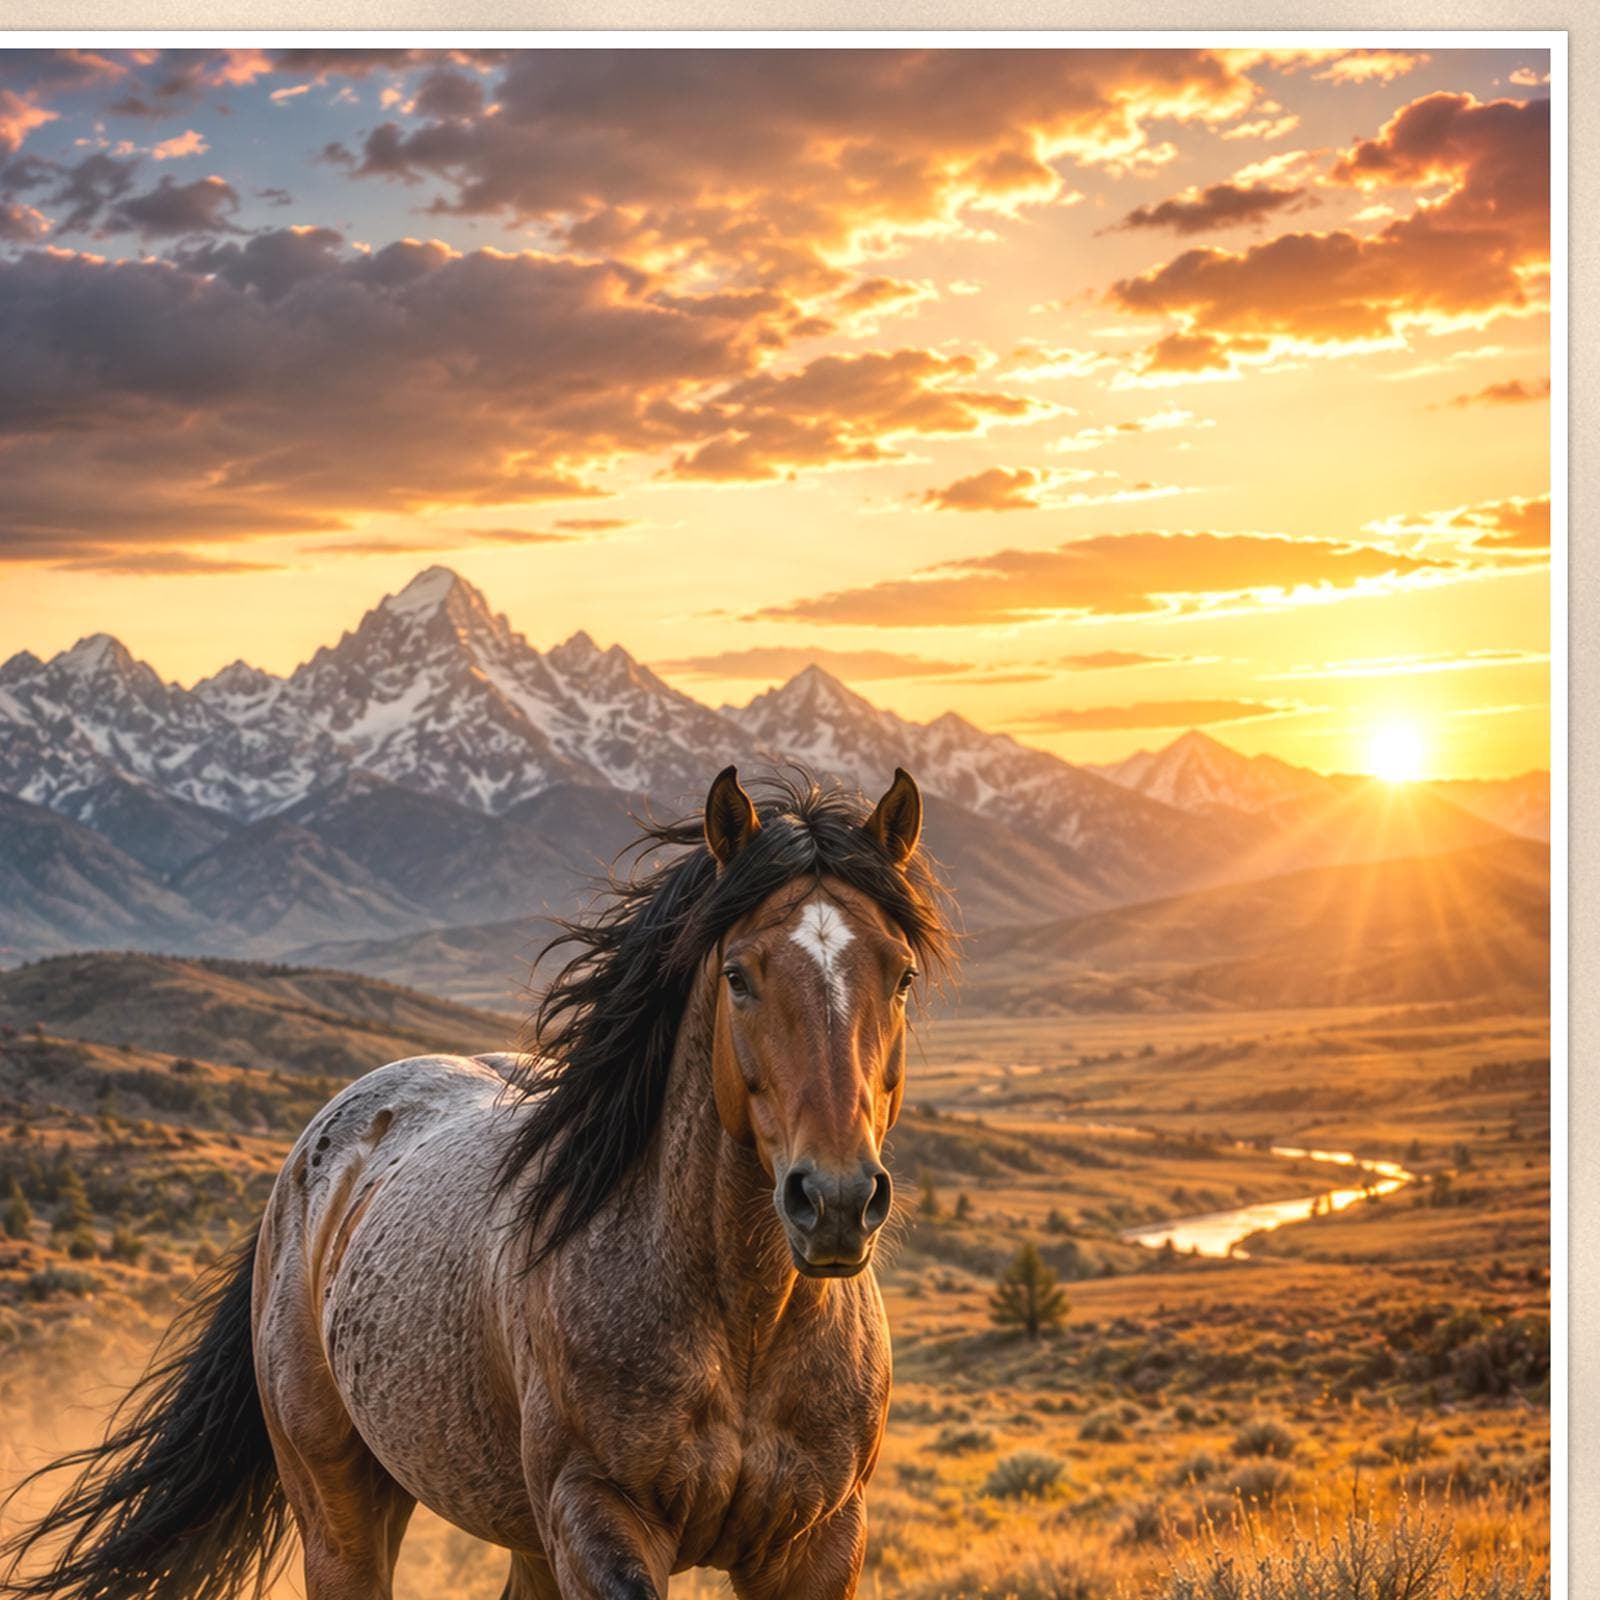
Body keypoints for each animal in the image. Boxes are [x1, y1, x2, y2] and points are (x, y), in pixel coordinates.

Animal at [2, 767, 953, 1600]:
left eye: (901, 975)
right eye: (737, 976)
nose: (835, 1202)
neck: (743, 1329)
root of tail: (314, 1157)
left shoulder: (819, 1542)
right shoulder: (596, 1520)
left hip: (520, 1529)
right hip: (341, 1500)